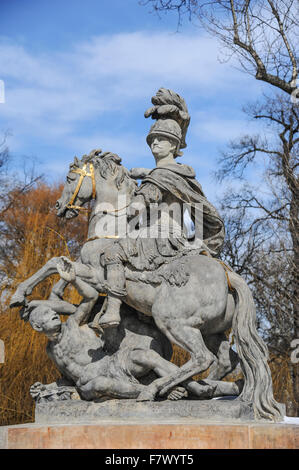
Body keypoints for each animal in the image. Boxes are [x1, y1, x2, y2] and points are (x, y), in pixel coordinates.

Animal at [9, 150, 284, 418]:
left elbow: (56, 263)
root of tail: (228, 275)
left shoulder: (97, 276)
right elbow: (59, 267)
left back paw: (158, 389)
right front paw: (39, 298)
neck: (111, 228)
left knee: (201, 358)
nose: (59, 207)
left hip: (172, 321)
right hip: (211, 331)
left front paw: (20, 295)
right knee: (227, 361)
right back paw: (205, 389)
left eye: (69, 178)